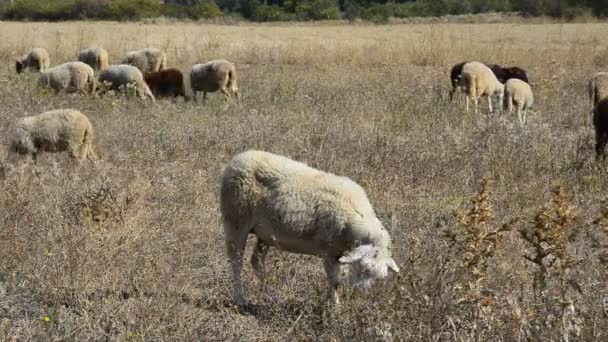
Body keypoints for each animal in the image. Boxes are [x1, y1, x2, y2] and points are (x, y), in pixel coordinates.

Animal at [218, 150, 400, 308]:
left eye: (378, 278)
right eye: (363, 268)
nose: (359, 291)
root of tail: (236, 160)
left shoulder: (340, 253)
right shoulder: (329, 252)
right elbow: (335, 280)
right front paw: (335, 306)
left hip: (264, 234)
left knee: (256, 261)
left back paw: (268, 294)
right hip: (235, 220)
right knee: (236, 261)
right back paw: (240, 299)